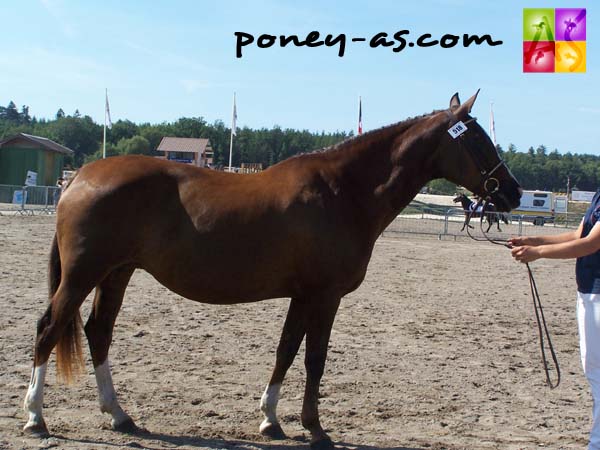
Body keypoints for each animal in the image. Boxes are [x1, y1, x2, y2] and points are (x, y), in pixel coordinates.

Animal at [23, 89, 520, 448]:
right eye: (478, 140)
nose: (512, 192)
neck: (343, 192)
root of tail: (80, 176)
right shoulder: (324, 296)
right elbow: (315, 359)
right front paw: (315, 428)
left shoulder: (302, 295)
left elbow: (286, 351)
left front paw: (270, 420)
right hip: (83, 275)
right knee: (49, 328)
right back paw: (35, 417)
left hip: (117, 273)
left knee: (98, 332)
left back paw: (119, 415)